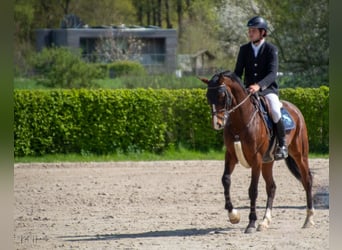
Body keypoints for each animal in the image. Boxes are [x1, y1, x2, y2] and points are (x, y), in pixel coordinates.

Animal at [200, 71, 316, 234]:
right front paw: (233, 215)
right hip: (268, 161)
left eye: (222, 96)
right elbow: (226, 180)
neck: (240, 121)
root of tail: (295, 109)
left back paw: (308, 219)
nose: (217, 124)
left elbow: (253, 190)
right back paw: (265, 222)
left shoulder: (256, 159)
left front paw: (251, 223)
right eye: (208, 97)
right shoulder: (231, 156)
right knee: (271, 187)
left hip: (300, 155)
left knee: (307, 180)